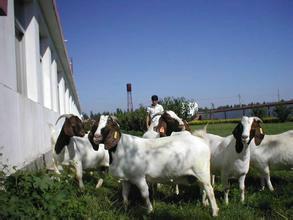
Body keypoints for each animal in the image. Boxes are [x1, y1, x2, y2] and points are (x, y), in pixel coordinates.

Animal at [90, 115, 218, 217]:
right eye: (95, 125)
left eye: (109, 124)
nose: (96, 137)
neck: (123, 148)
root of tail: (201, 141)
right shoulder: (126, 179)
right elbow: (125, 195)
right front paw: (125, 208)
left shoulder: (139, 177)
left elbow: (145, 194)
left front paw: (150, 211)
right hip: (198, 176)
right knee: (204, 190)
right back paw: (204, 204)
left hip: (202, 173)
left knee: (210, 191)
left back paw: (215, 212)